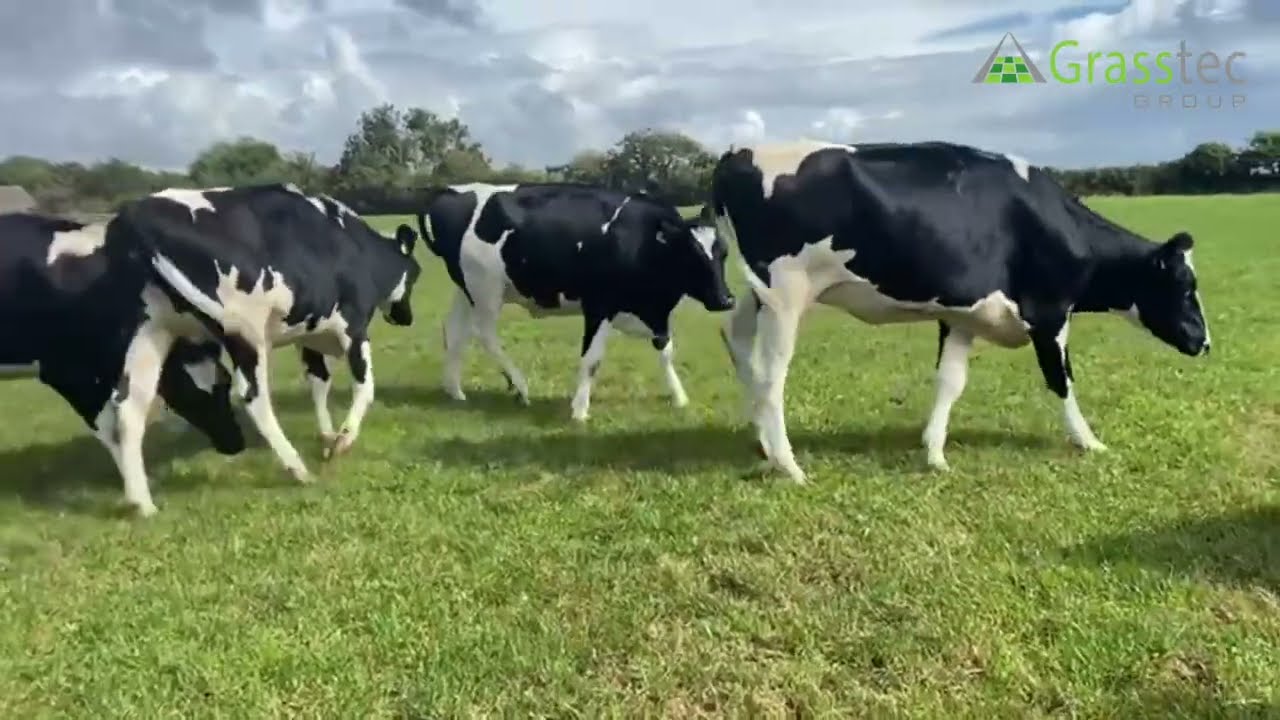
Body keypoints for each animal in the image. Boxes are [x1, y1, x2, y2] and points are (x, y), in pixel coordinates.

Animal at [0, 211, 246, 515]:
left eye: (226, 382)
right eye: (190, 398)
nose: (235, 443)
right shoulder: (67, 372)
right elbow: (110, 426)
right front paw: (138, 496)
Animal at [103, 183, 422, 487]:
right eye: (415, 274)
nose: (406, 318)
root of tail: (132, 214)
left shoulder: (309, 332)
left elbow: (319, 382)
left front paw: (327, 436)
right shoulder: (353, 326)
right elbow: (365, 386)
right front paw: (343, 439)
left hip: (150, 333)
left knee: (129, 407)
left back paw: (142, 500)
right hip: (244, 328)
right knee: (254, 396)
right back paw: (297, 469)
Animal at [414, 181, 736, 421]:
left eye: (724, 252)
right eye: (691, 254)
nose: (726, 299)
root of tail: (451, 191)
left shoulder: (655, 313)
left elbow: (666, 351)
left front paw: (679, 397)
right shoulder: (598, 305)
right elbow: (592, 359)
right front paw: (580, 410)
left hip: (466, 289)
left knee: (455, 331)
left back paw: (454, 390)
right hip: (486, 287)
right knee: (484, 334)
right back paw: (520, 387)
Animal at [709, 139, 1211, 482]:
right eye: (1185, 286)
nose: (1204, 343)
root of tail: (737, 152)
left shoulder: (961, 315)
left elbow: (950, 382)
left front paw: (934, 453)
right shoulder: (1049, 314)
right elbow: (1062, 380)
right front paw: (1089, 441)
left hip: (759, 293)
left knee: (736, 340)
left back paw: (764, 445)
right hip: (785, 294)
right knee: (771, 376)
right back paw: (789, 465)